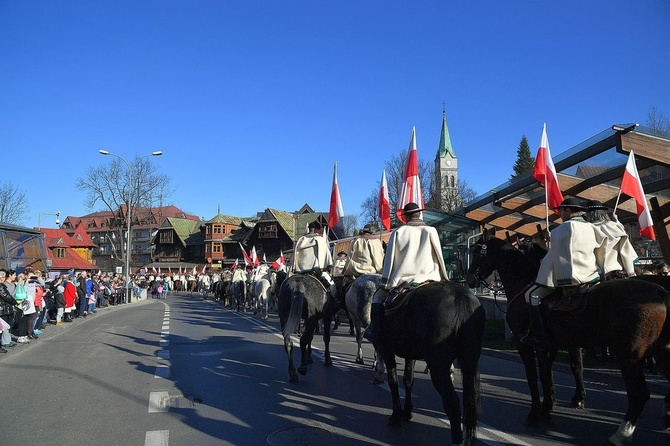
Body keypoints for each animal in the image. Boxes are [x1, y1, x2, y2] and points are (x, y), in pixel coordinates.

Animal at [380, 282, 486, 446]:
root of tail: (460, 295)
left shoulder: (386, 349)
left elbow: (393, 381)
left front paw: (396, 416)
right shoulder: (410, 354)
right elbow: (408, 380)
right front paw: (407, 412)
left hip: (438, 367)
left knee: (452, 401)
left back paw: (456, 439)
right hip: (470, 361)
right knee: (470, 403)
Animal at [464, 232, 670, 444]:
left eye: (477, 252)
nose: (469, 279)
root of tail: (659, 291)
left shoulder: (525, 345)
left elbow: (533, 377)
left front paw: (535, 414)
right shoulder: (549, 345)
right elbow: (549, 374)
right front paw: (548, 408)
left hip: (630, 355)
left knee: (639, 394)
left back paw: (621, 434)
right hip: (661, 350)